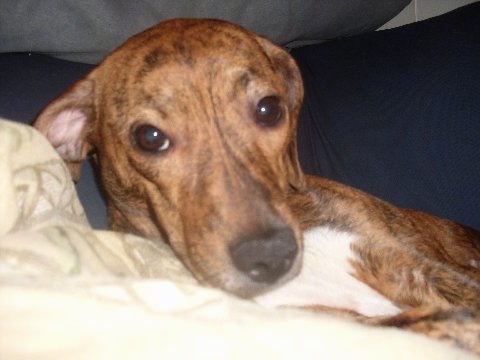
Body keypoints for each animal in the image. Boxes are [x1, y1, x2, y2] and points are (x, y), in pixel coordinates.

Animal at [33, 19, 480, 352]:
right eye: (149, 137)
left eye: (269, 109)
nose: (270, 256)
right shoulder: (327, 319)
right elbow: (417, 324)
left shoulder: (413, 264)